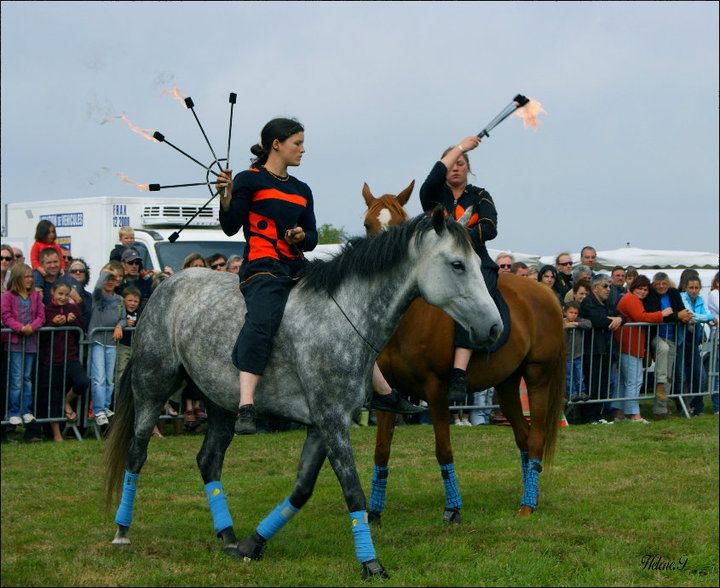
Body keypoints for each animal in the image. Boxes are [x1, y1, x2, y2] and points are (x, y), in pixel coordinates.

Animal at [103, 208, 503, 581]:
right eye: (457, 264)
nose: (494, 327)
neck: (344, 316)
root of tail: (166, 287)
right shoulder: (331, 421)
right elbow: (353, 491)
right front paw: (371, 563)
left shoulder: (323, 425)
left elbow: (301, 489)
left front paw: (252, 544)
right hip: (153, 387)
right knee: (137, 453)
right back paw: (122, 531)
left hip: (219, 402)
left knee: (209, 461)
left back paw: (228, 536)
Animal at [361, 184, 565, 525]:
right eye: (367, 225)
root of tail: (545, 292)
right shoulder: (388, 392)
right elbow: (381, 451)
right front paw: (374, 512)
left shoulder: (436, 391)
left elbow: (443, 449)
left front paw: (453, 508)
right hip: (508, 385)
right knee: (523, 437)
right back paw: (529, 495)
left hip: (538, 378)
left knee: (535, 438)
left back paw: (528, 504)